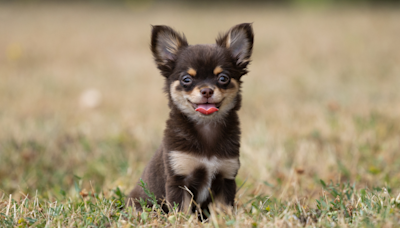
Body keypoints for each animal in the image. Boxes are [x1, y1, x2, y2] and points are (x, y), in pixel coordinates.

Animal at [128, 23, 253, 214]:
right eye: (186, 79)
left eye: (223, 78)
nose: (207, 90)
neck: (206, 126)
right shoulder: (179, 180)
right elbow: (182, 211)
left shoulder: (226, 178)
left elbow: (223, 210)